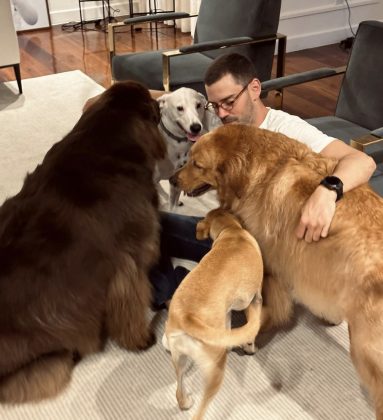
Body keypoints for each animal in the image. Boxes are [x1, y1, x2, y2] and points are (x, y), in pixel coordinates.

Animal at [0, 81, 166, 404]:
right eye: (151, 104)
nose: (161, 102)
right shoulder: (129, 263)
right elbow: (132, 306)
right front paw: (141, 340)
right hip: (48, 361)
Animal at [164, 209, 266, 420]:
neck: (232, 232)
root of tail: (186, 317)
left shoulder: (225, 312)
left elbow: (228, 327)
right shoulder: (256, 298)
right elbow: (251, 334)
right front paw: (249, 347)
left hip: (178, 359)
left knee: (179, 392)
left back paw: (185, 402)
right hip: (215, 372)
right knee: (200, 411)